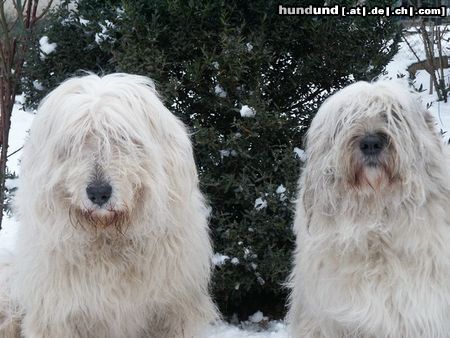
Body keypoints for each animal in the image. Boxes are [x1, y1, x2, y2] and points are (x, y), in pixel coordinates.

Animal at [2, 72, 216, 336]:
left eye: (121, 138)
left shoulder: (171, 310)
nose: (99, 193)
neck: (108, 238)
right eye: (74, 142)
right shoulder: (59, 315)